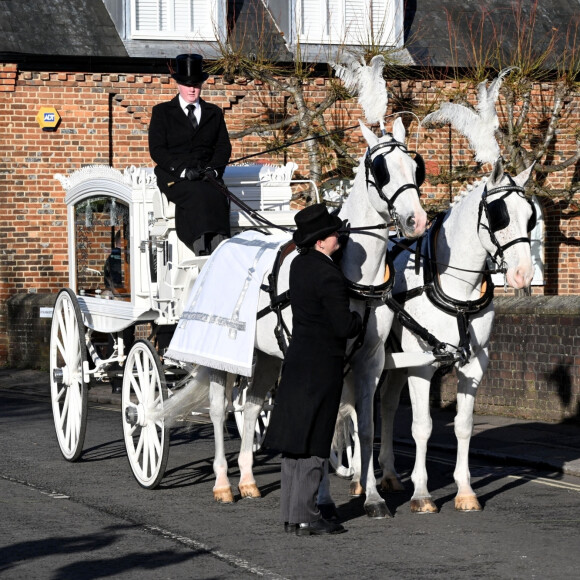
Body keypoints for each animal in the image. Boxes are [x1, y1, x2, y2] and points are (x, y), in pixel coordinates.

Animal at [206, 118, 428, 502]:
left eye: (416, 168)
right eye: (381, 170)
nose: (417, 220)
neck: (352, 273)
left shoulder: (369, 361)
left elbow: (365, 426)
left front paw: (371, 494)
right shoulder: (328, 360)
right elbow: (328, 423)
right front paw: (322, 495)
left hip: (266, 356)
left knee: (251, 406)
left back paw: (248, 479)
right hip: (223, 357)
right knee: (220, 410)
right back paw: (222, 483)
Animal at [368, 159, 536, 512]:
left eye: (531, 215)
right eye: (498, 214)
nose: (523, 274)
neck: (455, 288)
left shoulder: (474, 363)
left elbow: (463, 425)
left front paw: (466, 491)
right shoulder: (421, 365)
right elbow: (422, 427)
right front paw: (421, 494)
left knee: (386, 404)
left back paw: (388, 473)